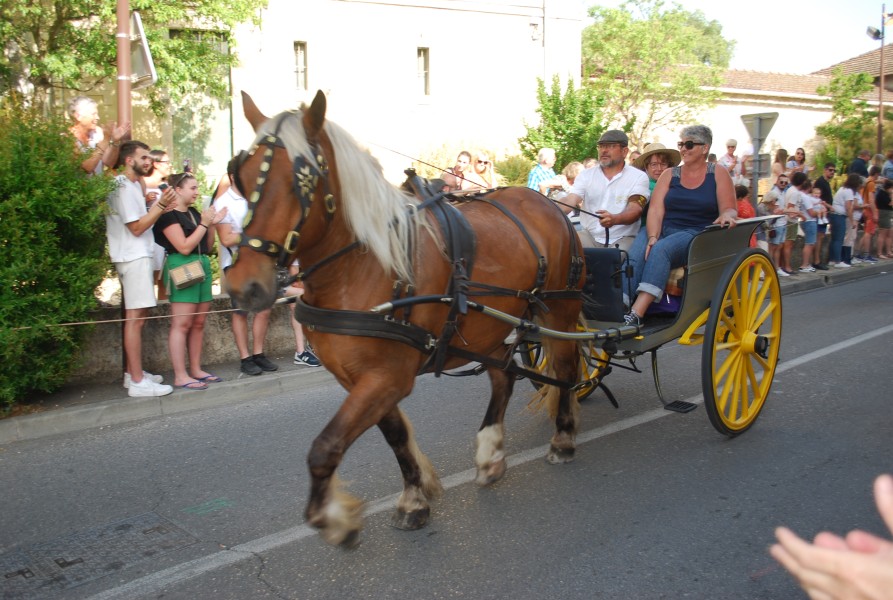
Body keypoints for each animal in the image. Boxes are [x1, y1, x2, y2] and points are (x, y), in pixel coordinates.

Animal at [226, 91, 580, 548]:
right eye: (240, 175)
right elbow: (394, 436)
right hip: (492, 328)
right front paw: (414, 498)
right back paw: (490, 454)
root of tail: (547, 203)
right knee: (504, 377)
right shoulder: (362, 378)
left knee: (567, 370)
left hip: (561, 313)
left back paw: (564, 438)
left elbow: (325, 446)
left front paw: (334, 517)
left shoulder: (387, 377)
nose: (243, 286)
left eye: (301, 181)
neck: (365, 265)